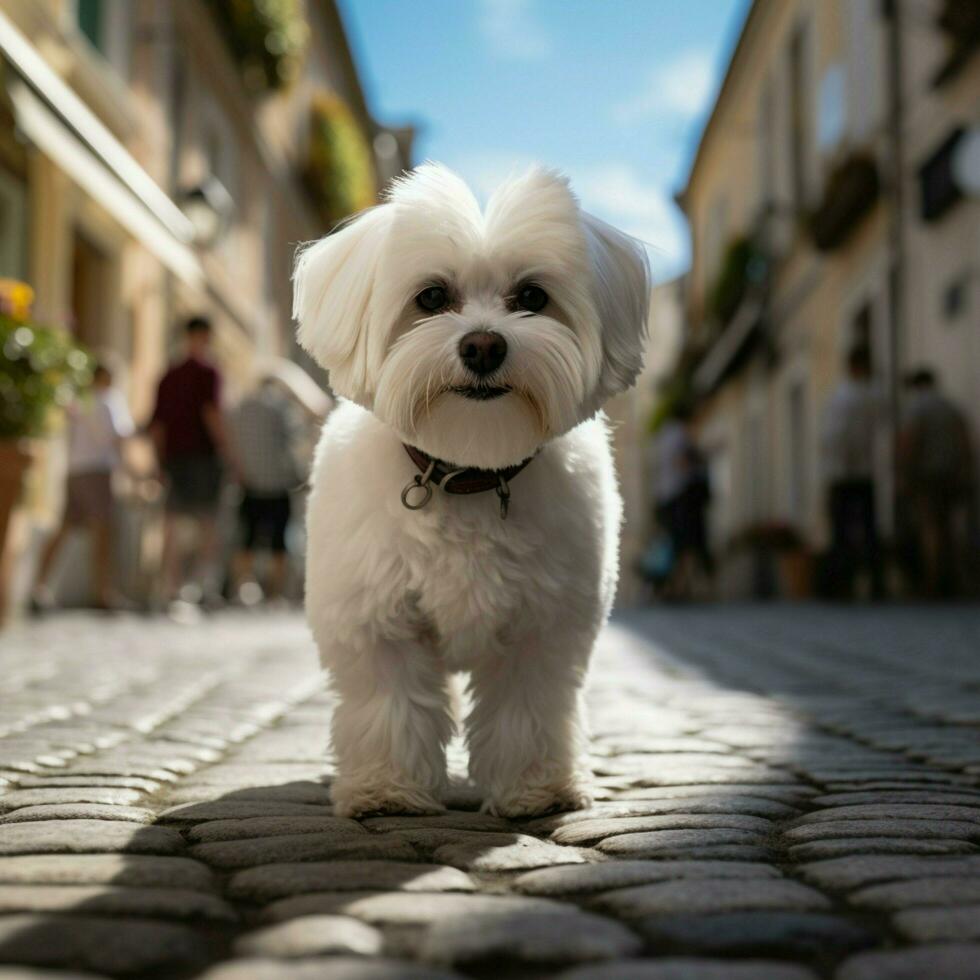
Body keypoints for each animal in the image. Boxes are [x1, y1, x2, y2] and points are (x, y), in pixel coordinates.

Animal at [294, 163, 648, 820]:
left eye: (532, 297)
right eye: (432, 298)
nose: (483, 344)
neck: (467, 474)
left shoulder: (545, 623)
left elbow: (528, 706)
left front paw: (535, 787)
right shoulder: (378, 620)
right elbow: (390, 702)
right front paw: (387, 788)